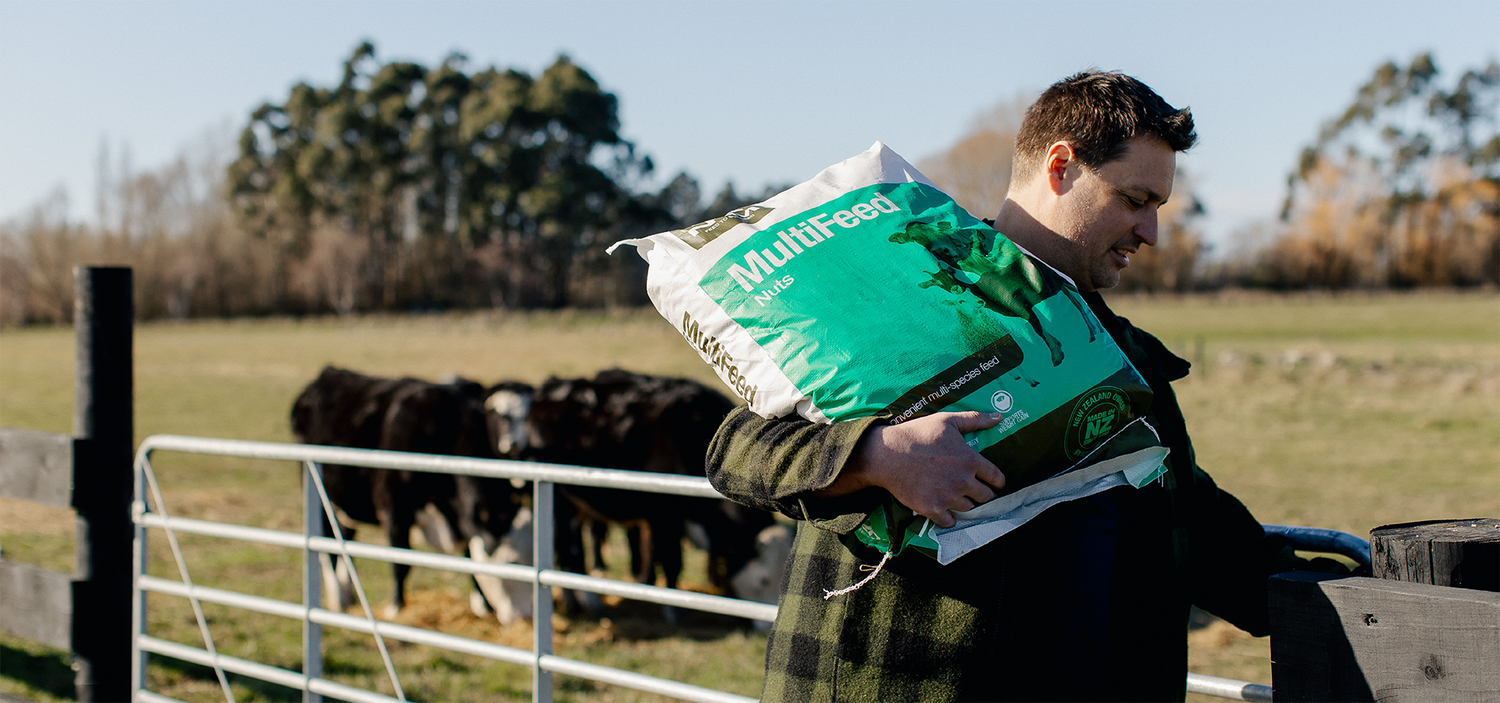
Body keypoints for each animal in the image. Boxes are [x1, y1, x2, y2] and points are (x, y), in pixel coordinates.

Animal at [286, 367, 522, 620]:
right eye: (513, 562)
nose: (520, 616)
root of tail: (329, 373)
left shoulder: (464, 519)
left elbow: (469, 560)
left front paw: (483, 607)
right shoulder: (394, 509)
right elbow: (401, 562)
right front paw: (396, 607)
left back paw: (348, 597)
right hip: (320, 497)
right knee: (328, 547)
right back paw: (339, 600)